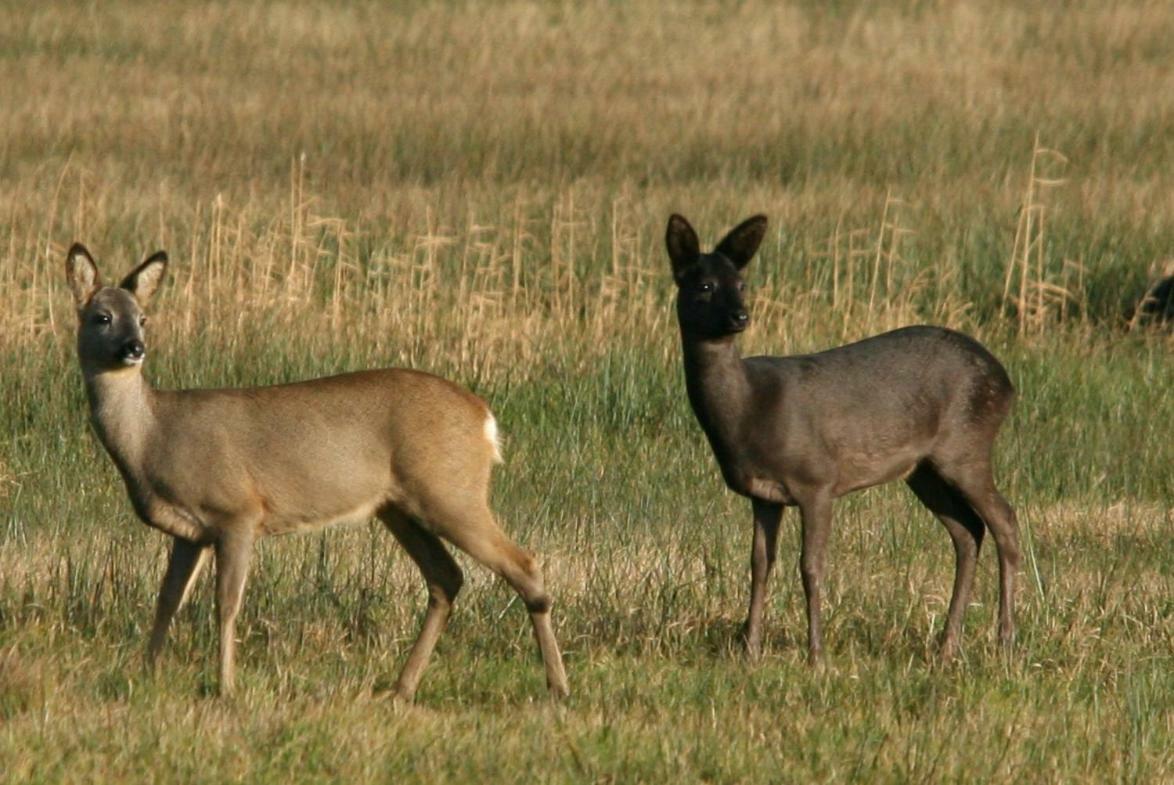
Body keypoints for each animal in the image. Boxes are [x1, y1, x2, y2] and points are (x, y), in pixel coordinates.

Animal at [64, 245, 568, 699]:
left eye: (143, 318)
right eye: (102, 317)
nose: (134, 348)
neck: (154, 434)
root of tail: (484, 418)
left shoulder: (238, 511)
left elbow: (226, 603)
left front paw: (226, 687)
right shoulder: (191, 532)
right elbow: (168, 598)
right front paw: (144, 676)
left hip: (450, 491)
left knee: (524, 564)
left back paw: (557, 687)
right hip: (399, 507)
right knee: (446, 577)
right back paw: (400, 689)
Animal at [666, 212, 1023, 661]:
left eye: (742, 284)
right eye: (705, 286)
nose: (740, 316)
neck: (748, 409)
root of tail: (1007, 381)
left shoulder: (816, 479)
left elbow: (811, 567)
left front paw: (816, 655)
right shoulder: (763, 495)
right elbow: (759, 565)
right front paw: (749, 650)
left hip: (966, 444)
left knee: (1004, 520)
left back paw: (1005, 640)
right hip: (923, 470)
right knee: (968, 530)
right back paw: (946, 647)